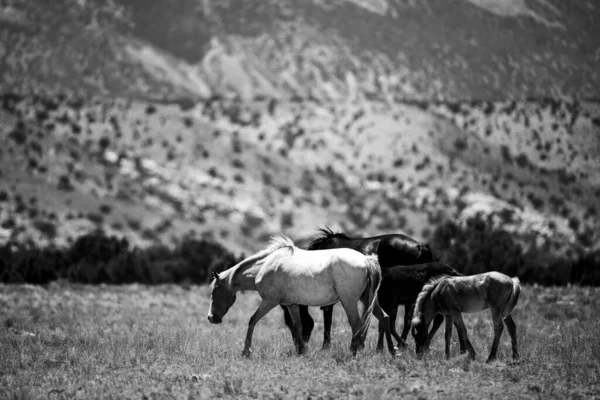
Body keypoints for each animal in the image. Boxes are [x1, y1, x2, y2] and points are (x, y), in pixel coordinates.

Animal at [209, 234, 396, 356]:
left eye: (214, 290)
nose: (211, 318)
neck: (265, 266)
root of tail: (366, 260)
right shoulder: (291, 304)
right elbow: (298, 326)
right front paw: (302, 351)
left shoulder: (269, 301)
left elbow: (252, 320)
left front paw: (246, 351)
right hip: (368, 299)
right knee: (385, 318)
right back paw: (393, 352)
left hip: (349, 301)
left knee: (357, 324)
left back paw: (353, 353)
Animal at [282, 227, 440, 348]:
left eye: (289, 322)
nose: (298, 343)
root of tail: (420, 246)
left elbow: (329, 321)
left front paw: (326, 346)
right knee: (408, 319)